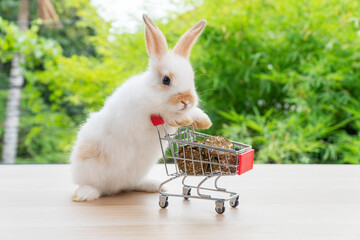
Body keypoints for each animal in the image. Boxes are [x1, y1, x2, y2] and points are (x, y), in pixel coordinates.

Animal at [70, 14, 211, 202]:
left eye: (192, 78)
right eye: (166, 80)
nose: (187, 100)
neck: (152, 93)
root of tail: (113, 188)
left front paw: (203, 121)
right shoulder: (143, 113)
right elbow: (167, 115)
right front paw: (182, 118)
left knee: (131, 184)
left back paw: (154, 185)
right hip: (88, 169)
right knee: (90, 185)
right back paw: (84, 195)